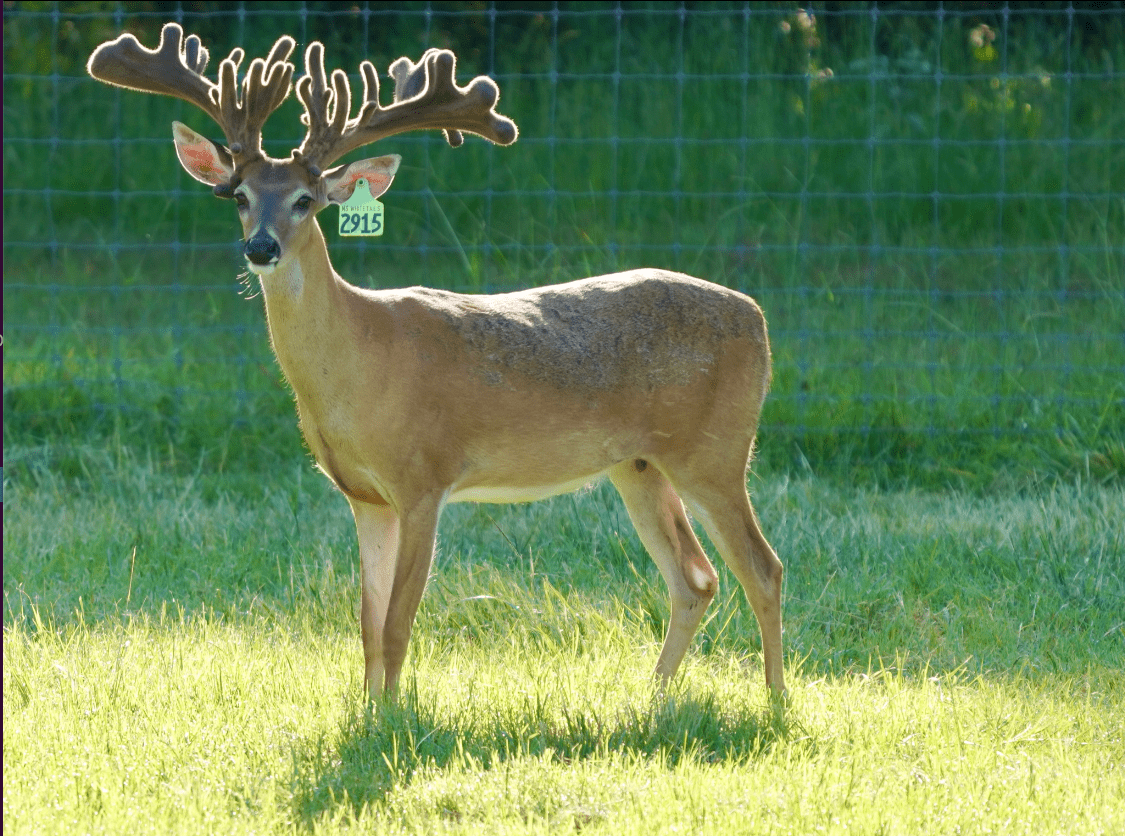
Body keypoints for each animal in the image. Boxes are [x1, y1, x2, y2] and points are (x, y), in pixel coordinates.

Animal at [87, 23, 786, 701]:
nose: (260, 247)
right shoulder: (364, 496)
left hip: (715, 451)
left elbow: (398, 625)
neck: (357, 363)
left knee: (762, 566)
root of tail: (757, 317)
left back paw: (775, 702)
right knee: (695, 577)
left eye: (306, 200)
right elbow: (367, 628)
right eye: (238, 195)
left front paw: (396, 720)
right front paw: (369, 715)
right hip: (638, 464)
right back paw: (652, 701)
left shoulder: (425, 475)